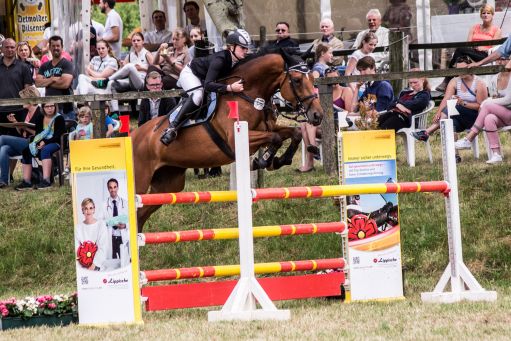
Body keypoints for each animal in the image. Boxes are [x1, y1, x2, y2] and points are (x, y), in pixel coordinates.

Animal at [132, 48, 324, 231]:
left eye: (312, 79)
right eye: (297, 80)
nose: (317, 115)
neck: (249, 94)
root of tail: (134, 135)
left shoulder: (268, 128)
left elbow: (294, 133)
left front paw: (278, 160)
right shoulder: (237, 138)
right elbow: (276, 138)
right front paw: (263, 161)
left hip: (168, 183)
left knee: (140, 215)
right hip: (141, 180)